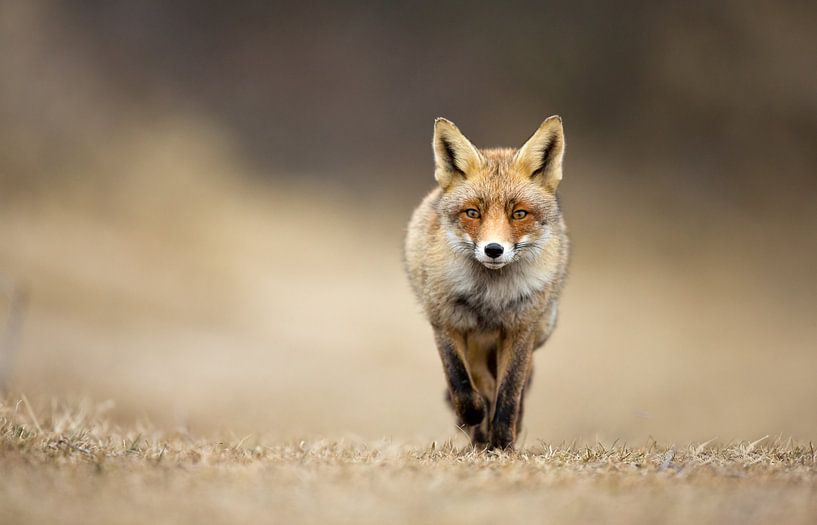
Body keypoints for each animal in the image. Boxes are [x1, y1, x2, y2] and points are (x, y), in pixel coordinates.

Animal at [404, 116, 572, 448]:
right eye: (472, 213)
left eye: (519, 214)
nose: (494, 249)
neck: (490, 296)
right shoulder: (446, 322)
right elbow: (460, 381)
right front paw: (474, 417)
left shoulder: (520, 328)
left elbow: (510, 392)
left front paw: (504, 442)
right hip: (476, 340)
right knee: (480, 380)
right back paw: (478, 432)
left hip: (538, 329)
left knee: (518, 383)